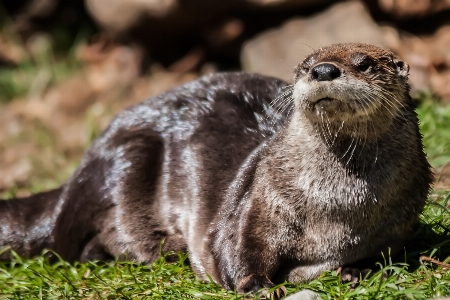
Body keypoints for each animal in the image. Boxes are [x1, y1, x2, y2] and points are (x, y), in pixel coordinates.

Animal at [0, 43, 432, 296]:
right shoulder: (257, 201)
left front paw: (354, 271)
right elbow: (236, 249)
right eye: (306, 65)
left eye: (365, 63)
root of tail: (76, 176)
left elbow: (379, 254)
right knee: (84, 247)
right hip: (125, 162)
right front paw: (257, 286)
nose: (324, 70)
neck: (333, 206)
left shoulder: (396, 225)